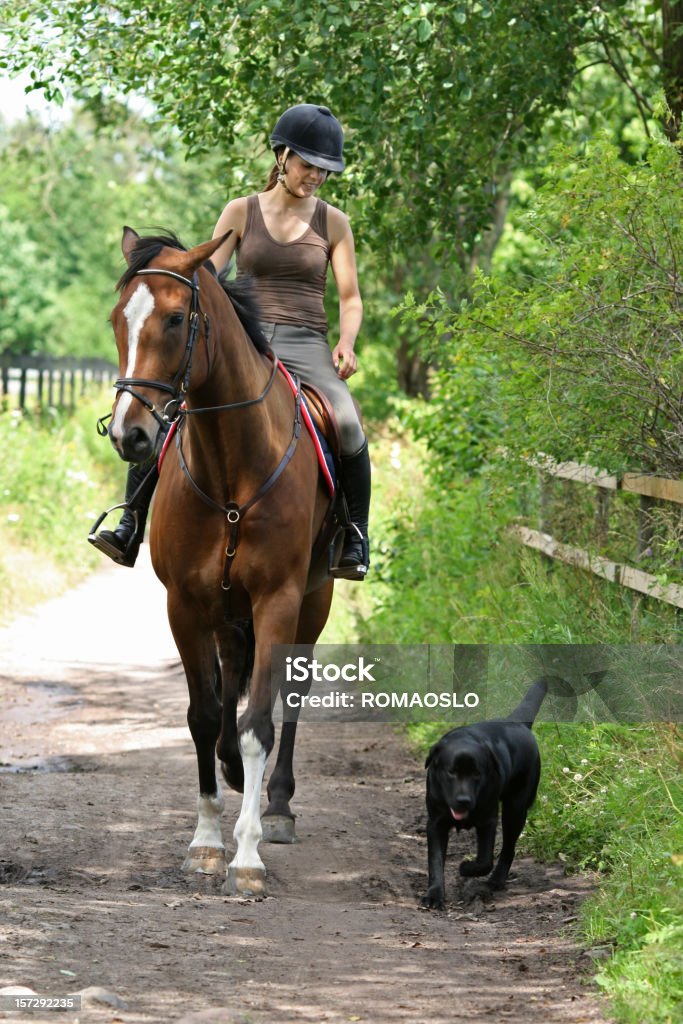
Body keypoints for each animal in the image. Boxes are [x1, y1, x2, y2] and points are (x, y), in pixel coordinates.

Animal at [107, 226, 335, 897]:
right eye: (118, 319)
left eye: (176, 319)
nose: (129, 435)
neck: (233, 464)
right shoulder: (185, 603)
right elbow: (206, 715)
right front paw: (207, 842)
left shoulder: (278, 598)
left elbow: (260, 720)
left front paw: (249, 855)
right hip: (226, 611)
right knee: (231, 674)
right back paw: (235, 778)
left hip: (312, 603)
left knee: (290, 695)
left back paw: (277, 807)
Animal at [421, 675, 548, 909]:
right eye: (451, 772)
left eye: (477, 774)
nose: (463, 800)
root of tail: (517, 722)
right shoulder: (435, 823)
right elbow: (435, 861)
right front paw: (434, 895)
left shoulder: (488, 821)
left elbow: (485, 860)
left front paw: (465, 868)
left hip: (515, 809)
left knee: (508, 849)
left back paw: (495, 881)